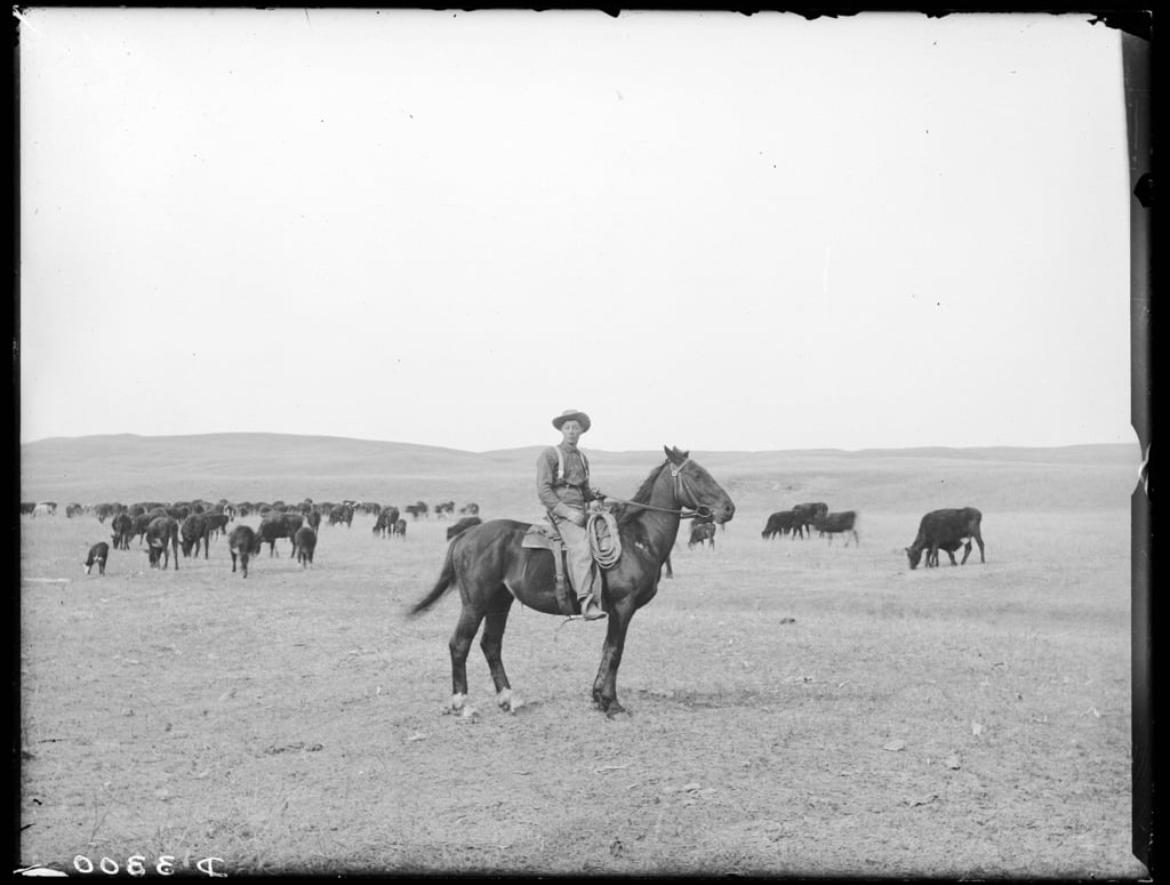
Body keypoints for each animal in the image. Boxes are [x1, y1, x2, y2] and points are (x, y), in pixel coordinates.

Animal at [409, 444, 730, 716]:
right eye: (697, 474)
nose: (729, 508)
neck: (637, 539)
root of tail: (466, 535)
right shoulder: (623, 606)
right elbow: (615, 651)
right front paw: (612, 703)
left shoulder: (616, 610)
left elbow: (607, 649)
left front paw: (599, 697)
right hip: (475, 603)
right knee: (459, 643)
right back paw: (461, 704)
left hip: (499, 601)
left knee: (491, 644)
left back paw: (509, 699)